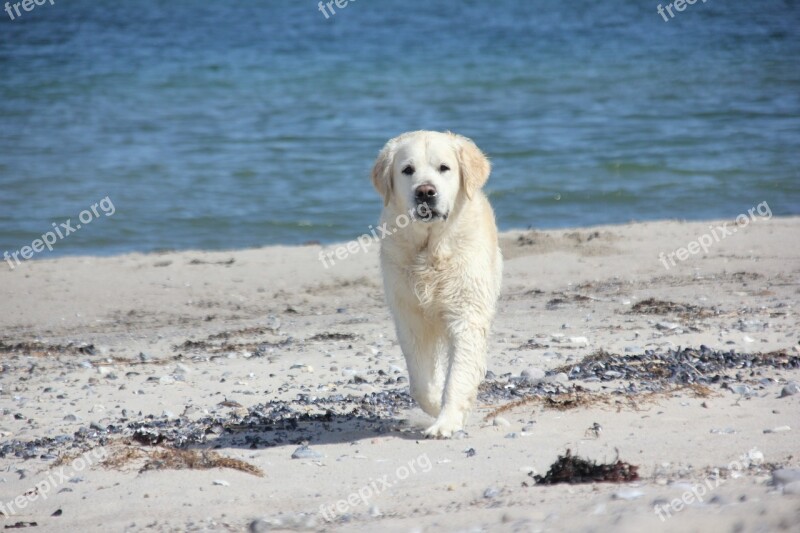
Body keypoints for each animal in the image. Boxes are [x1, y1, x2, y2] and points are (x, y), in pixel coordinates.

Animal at [368, 130, 500, 436]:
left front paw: (446, 422)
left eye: (444, 168)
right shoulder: (409, 317)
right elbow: (422, 381)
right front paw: (435, 406)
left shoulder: (466, 315)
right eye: (407, 170)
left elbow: (459, 375)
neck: (429, 250)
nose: (425, 192)